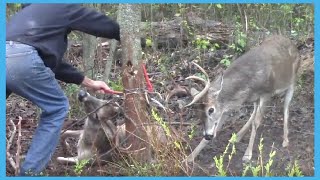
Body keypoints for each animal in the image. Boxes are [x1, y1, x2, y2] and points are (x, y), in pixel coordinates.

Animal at [185, 34, 300, 162]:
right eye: (198, 112)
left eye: (211, 109)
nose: (207, 135)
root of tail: (292, 44)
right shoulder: (228, 107)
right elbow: (219, 127)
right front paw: (189, 157)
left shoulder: (266, 93)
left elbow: (257, 122)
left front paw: (247, 155)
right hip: (256, 99)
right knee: (254, 112)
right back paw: (237, 136)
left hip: (292, 81)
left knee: (286, 108)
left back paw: (285, 140)